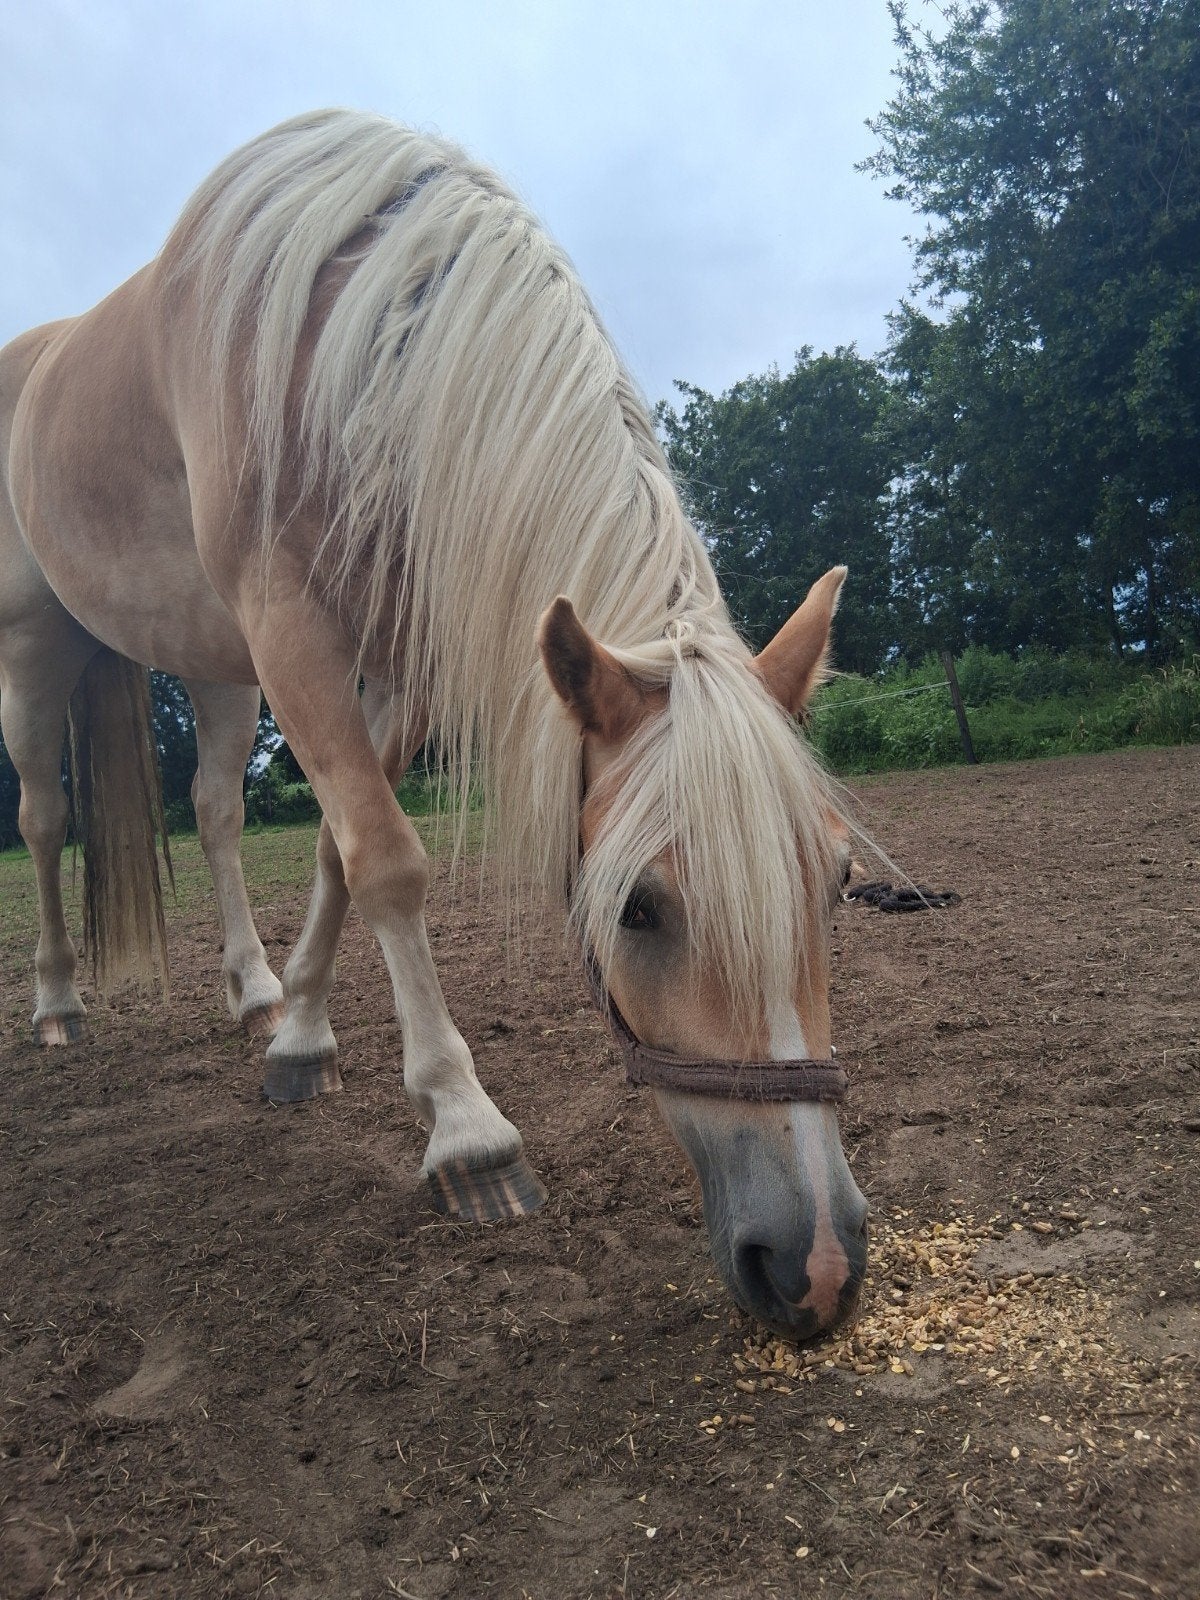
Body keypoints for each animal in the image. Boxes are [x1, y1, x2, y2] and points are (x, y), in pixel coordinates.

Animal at [0, 110, 868, 1340]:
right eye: (638, 906)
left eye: (836, 882)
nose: (818, 1266)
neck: (349, 347)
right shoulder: (292, 630)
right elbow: (389, 863)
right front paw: (467, 1132)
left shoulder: (390, 663)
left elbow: (334, 848)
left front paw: (301, 1041)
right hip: (36, 649)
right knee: (40, 817)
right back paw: (58, 1001)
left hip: (215, 668)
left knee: (213, 811)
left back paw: (253, 992)